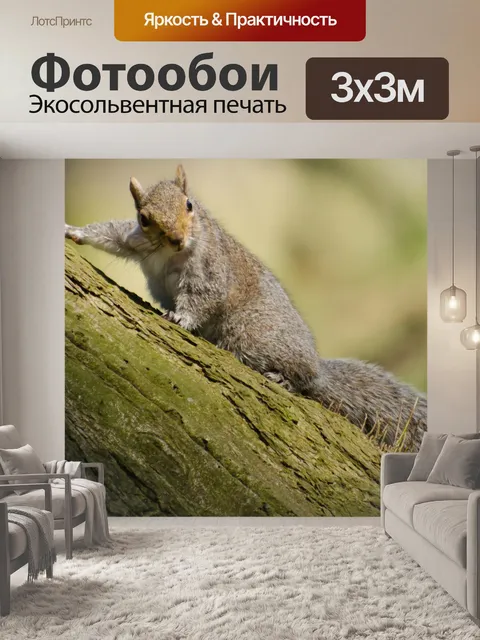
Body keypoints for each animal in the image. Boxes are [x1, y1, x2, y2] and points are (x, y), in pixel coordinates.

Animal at [65, 164, 426, 448]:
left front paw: (181, 317)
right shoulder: (137, 240)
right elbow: (110, 235)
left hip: (253, 338)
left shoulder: (210, 270)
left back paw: (285, 379)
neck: (171, 253)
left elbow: (203, 298)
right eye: (144, 218)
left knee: (304, 380)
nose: (178, 239)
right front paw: (75, 231)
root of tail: (317, 366)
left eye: (189, 204)